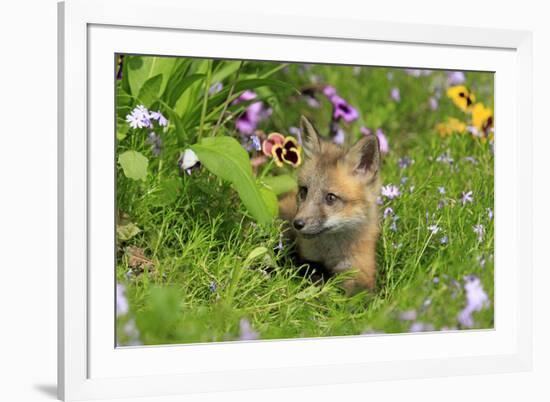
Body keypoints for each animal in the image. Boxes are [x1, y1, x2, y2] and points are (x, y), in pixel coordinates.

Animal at [282, 115, 382, 292]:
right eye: (304, 191)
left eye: (331, 197)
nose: (297, 224)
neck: (331, 253)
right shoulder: (308, 259)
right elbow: (312, 273)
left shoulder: (361, 271)